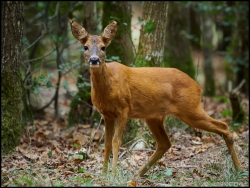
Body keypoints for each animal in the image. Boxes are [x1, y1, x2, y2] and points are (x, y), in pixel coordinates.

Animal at [69, 19, 241, 177]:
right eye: (85, 47)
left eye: (103, 47)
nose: (94, 60)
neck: (108, 86)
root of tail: (198, 87)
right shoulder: (107, 114)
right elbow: (106, 143)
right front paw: (104, 174)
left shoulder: (124, 109)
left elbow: (116, 141)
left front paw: (113, 174)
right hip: (153, 116)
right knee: (165, 143)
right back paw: (138, 174)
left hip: (190, 109)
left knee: (223, 126)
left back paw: (239, 168)